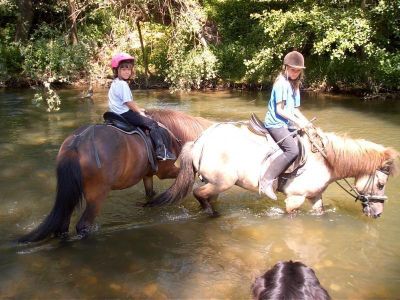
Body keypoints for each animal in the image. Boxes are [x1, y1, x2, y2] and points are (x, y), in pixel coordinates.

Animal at [18, 109, 212, 243]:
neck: (171, 132)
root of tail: (76, 144)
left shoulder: (148, 175)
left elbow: (150, 193)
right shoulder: (166, 171)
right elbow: (185, 176)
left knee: (63, 224)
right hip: (97, 196)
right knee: (82, 225)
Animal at [146, 119, 396, 218]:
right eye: (381, 183)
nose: (378, 214)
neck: (324, 159)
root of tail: (201, 140)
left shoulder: (315, 197)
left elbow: (320, 213)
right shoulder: (295, 198)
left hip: (213, 182)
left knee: (205, 196)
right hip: (221, 182)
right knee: (199, 194)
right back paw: (211, 214)